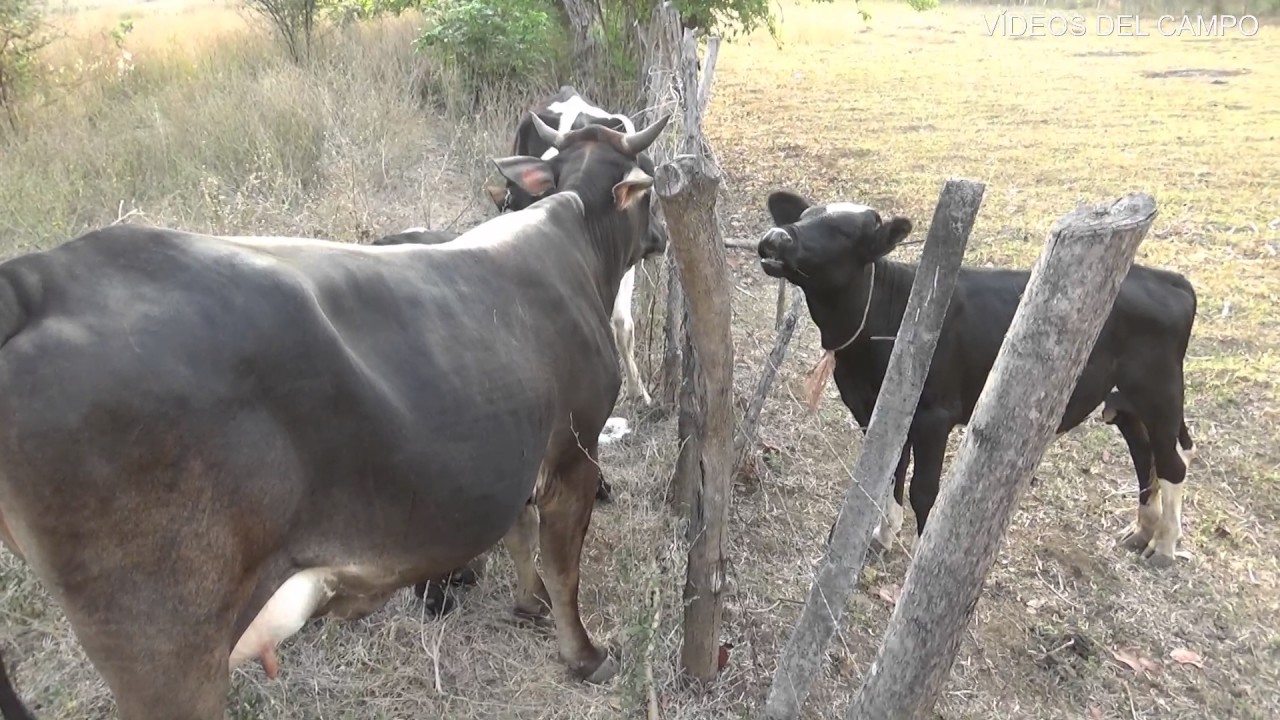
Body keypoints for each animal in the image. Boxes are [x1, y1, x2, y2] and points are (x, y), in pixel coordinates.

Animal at [755, 190, 1198, 567]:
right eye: (804, 216)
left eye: (845, 232)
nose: (775, 238)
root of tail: (1165, 277)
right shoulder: (873, 409)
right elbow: (889, 471)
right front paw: (881, 535)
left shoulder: (934, 416)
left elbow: (923, 489)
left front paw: (920, 557)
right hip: (1125, 403)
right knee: (1145, 456)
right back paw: (1142, 531)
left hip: (1160, 394)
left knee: (1172, 463)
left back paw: (1165, 545)